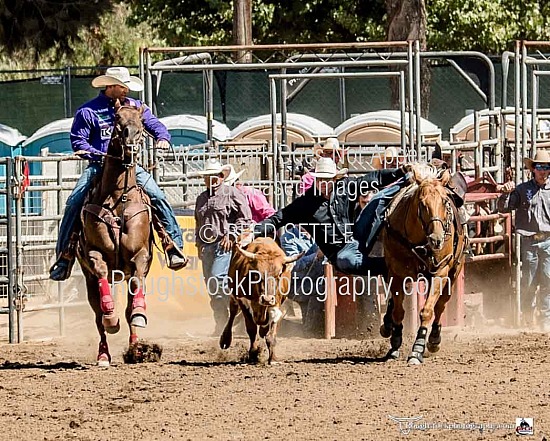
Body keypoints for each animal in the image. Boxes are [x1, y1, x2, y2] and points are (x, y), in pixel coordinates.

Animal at [77, 101, 153, 366]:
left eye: (141, 123)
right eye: (117, 120)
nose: (130, 141)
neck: (118, 199)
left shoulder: (140, 256)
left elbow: (135, 301)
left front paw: (140, 312)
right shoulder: (93, 254)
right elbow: (100, 275)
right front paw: (111, 315)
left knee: (128, 310)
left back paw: (136, 348)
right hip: (89, 281)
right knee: (97, 316)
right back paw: (104, 353)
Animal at [384, 165, 466, 364]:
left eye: (444, 202)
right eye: (422, 203)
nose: (437, 239)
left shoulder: (440, 272)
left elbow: (427, 311)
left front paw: (417, 350)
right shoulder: (396, 273)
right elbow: (398, 311)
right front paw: (395, 344)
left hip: (452, 274)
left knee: (440, 306)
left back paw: (434, 339)